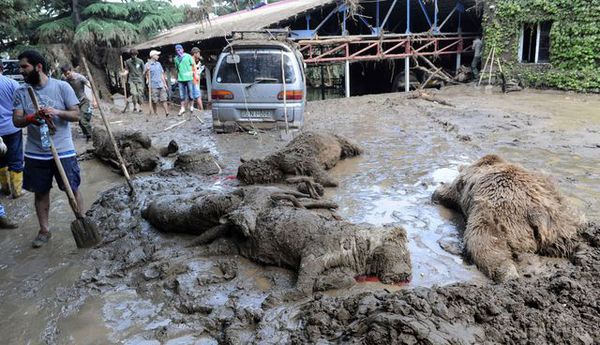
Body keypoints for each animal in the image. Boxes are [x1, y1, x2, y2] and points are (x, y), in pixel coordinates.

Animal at [434, 155, 584, 280]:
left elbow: (448, 191)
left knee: (485, 243)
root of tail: (538, 216)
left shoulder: (463, 185)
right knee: (571, 238)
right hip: (561, 221)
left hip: (494, 218)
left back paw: (507, 274)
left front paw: (438, 192)